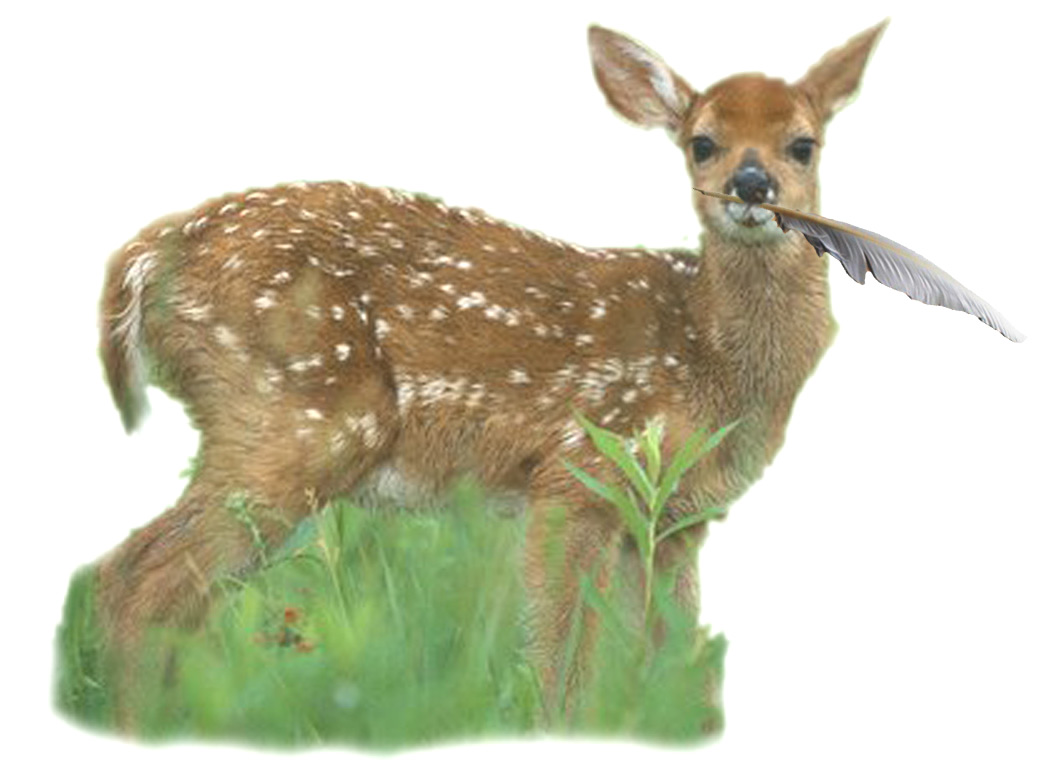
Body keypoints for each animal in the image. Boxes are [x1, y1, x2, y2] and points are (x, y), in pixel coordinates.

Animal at [95, 20, 888, 723]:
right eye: (702, 144)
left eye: (803, 145)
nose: (751, 184)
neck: (709, 357)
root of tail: (143, 257)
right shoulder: (578, 473)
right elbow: (564, 664)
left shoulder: (676, 521)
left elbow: (676, 665)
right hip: (298, 414)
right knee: (138, 579)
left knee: (163, 595)